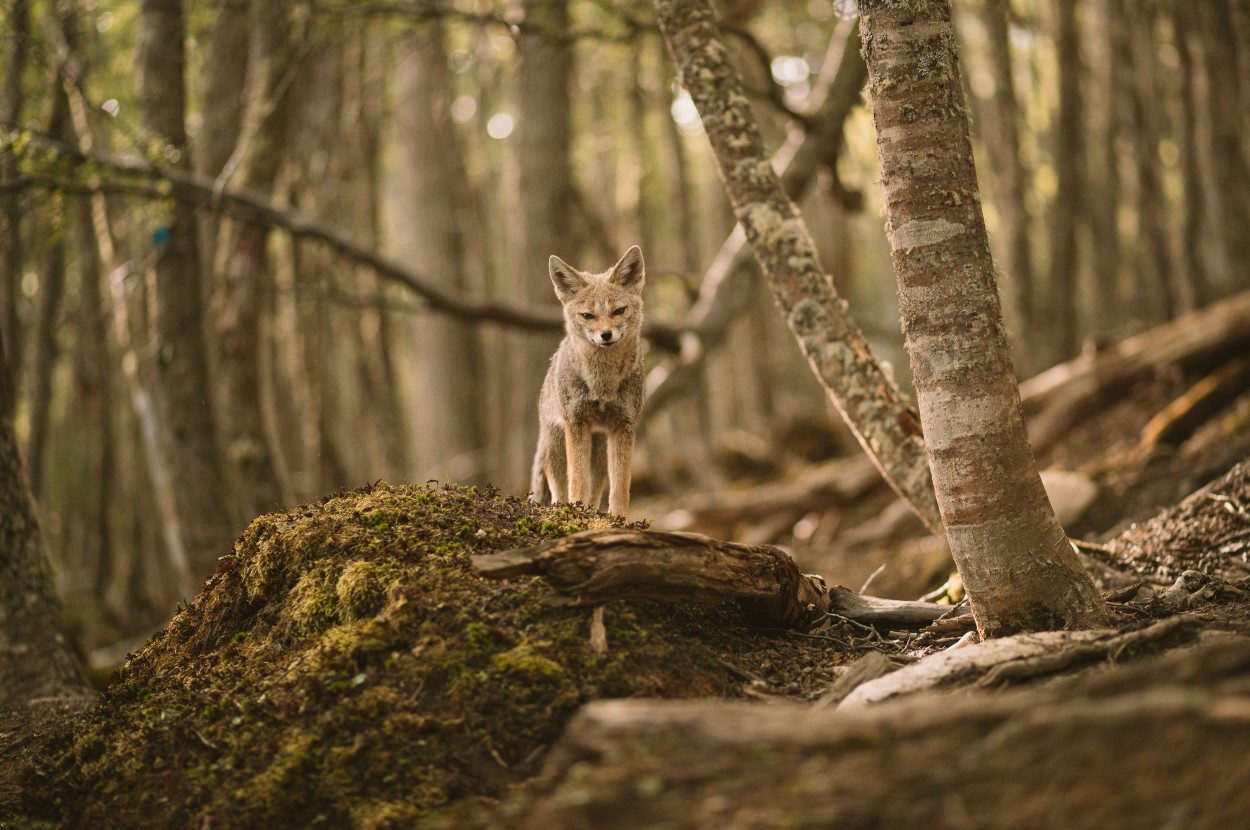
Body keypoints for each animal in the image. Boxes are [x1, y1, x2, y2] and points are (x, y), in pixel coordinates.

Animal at [527, 246, 645, 515]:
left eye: (619, 311)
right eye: (588, 315)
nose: (606, 335)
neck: (602, 384)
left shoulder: (623, 426)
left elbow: (621, 486)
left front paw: (618, 519)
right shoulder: (577, 422)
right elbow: (577, 480)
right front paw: (576, 513)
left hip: (600, 453)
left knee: (596, 488)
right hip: (556, 445)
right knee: (558, 488)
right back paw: (561, 509)